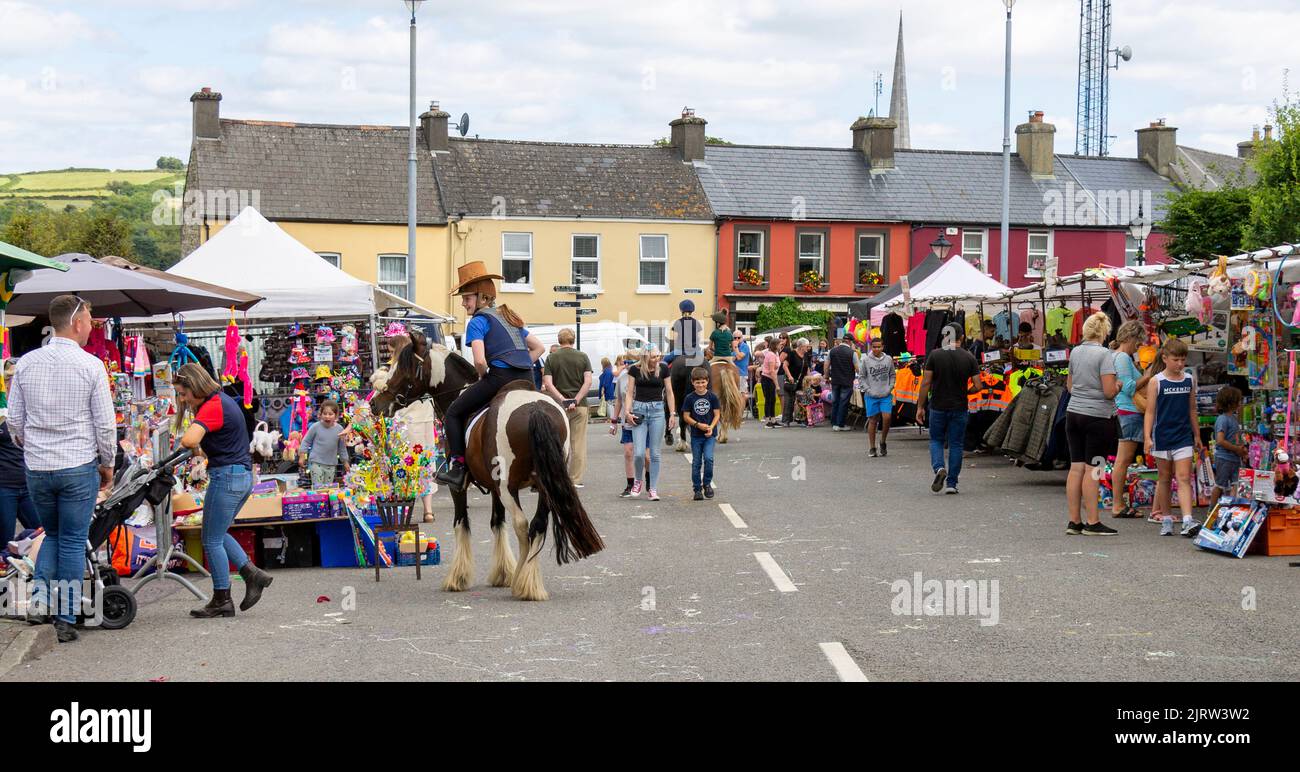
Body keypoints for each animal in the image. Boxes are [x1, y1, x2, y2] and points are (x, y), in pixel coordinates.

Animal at [371, 343, 603, 600]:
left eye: (402, 369)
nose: (375, 403)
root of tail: (535, 408)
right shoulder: (494, 487)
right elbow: (497, 522)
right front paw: (502, 573)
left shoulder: (460, 487)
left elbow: (461, 522)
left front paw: (458, 578)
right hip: (543, 486)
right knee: (538, 524)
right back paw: (528, 581)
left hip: (508, 487)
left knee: (522, 524)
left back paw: (522, 582)